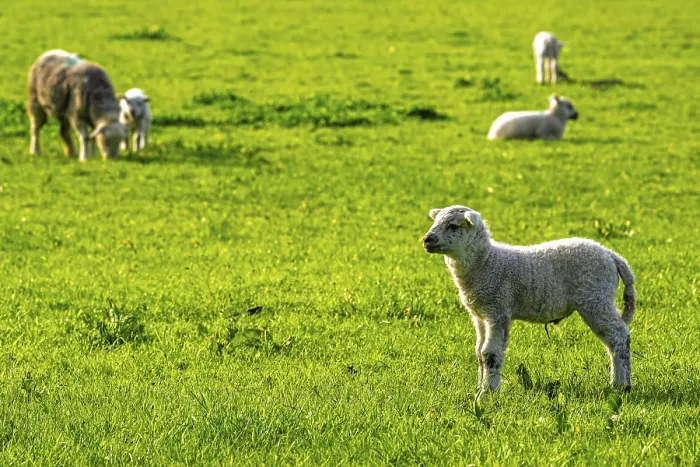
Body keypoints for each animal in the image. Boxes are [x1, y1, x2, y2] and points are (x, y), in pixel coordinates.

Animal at [422, 205, 636, 397]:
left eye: (453, 226)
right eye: (435, 222)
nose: (426, 240)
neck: (486, 263)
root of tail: (611, 255)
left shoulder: (497, 309)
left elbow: (490, 354)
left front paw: (487, 393)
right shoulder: (480, 314)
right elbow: (479, 352)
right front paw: (478, 388)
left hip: (596, 298)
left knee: (619, 336)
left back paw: (622, 385)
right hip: (598, 298)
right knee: (611, 340)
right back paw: (617, 383)